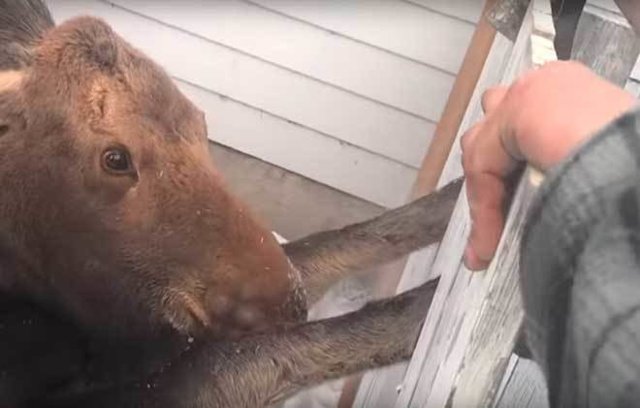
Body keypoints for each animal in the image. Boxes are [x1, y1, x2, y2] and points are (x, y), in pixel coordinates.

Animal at [0, 1, 462, 406]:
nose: (288, 300)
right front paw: (422, 309)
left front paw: (457, 196)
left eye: (200, 120)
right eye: (115, 158)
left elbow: (333, 243)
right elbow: (237, 361)